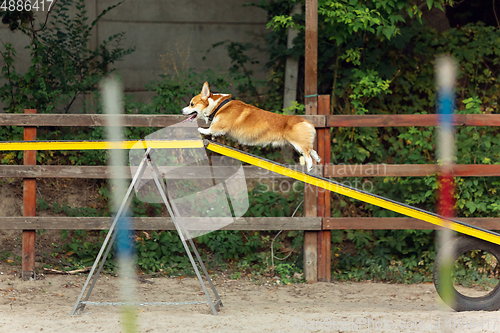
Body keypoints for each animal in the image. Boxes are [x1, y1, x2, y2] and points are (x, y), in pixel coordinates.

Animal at [183, 81, 320, 171]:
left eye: (191, 104)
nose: (181, 110)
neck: (218, 106)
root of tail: (306, 122)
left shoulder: (221, 126)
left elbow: (211, 129)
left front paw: (202, 129)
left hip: (297, 143)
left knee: (307, 154)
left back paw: (309, 167)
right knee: (312, 150)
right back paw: (317, 159)